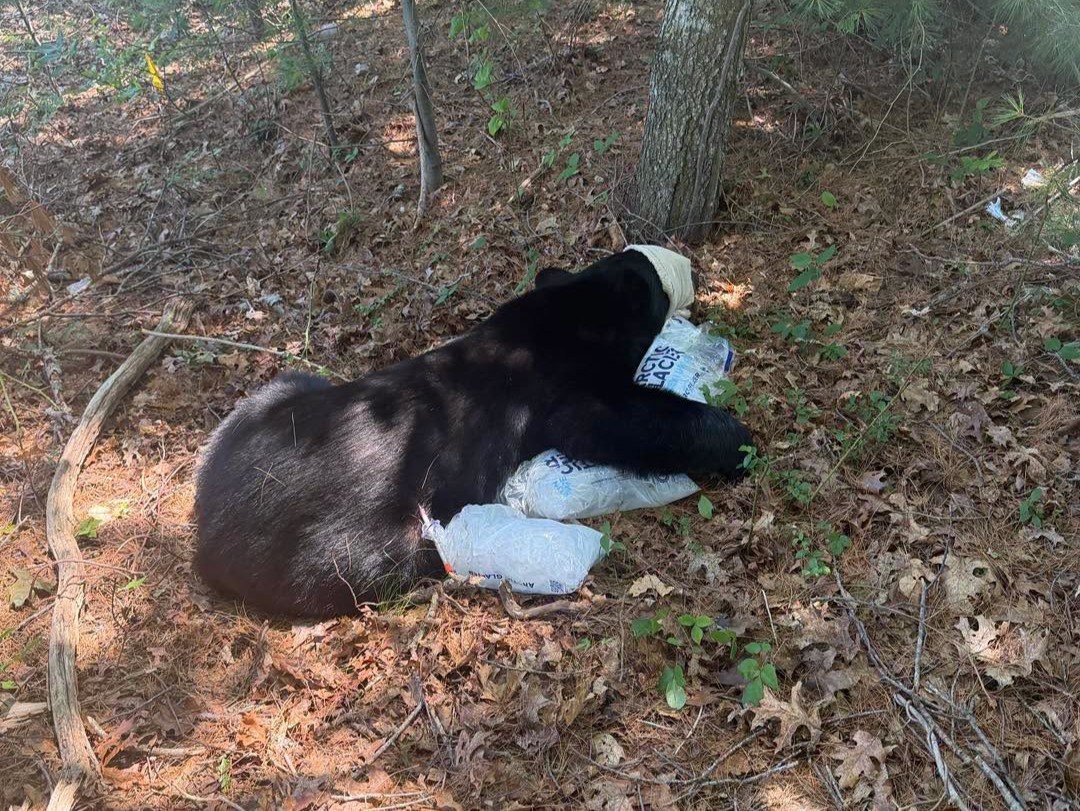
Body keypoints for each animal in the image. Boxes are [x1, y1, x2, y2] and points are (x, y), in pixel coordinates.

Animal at [194, 248, 752, 617]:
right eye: (657, 284)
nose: (682, 266)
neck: (565, 315)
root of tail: (206, 531)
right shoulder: (569, 392)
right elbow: (626, 420)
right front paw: (738, 441)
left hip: (271, 396)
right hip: (343, 546)